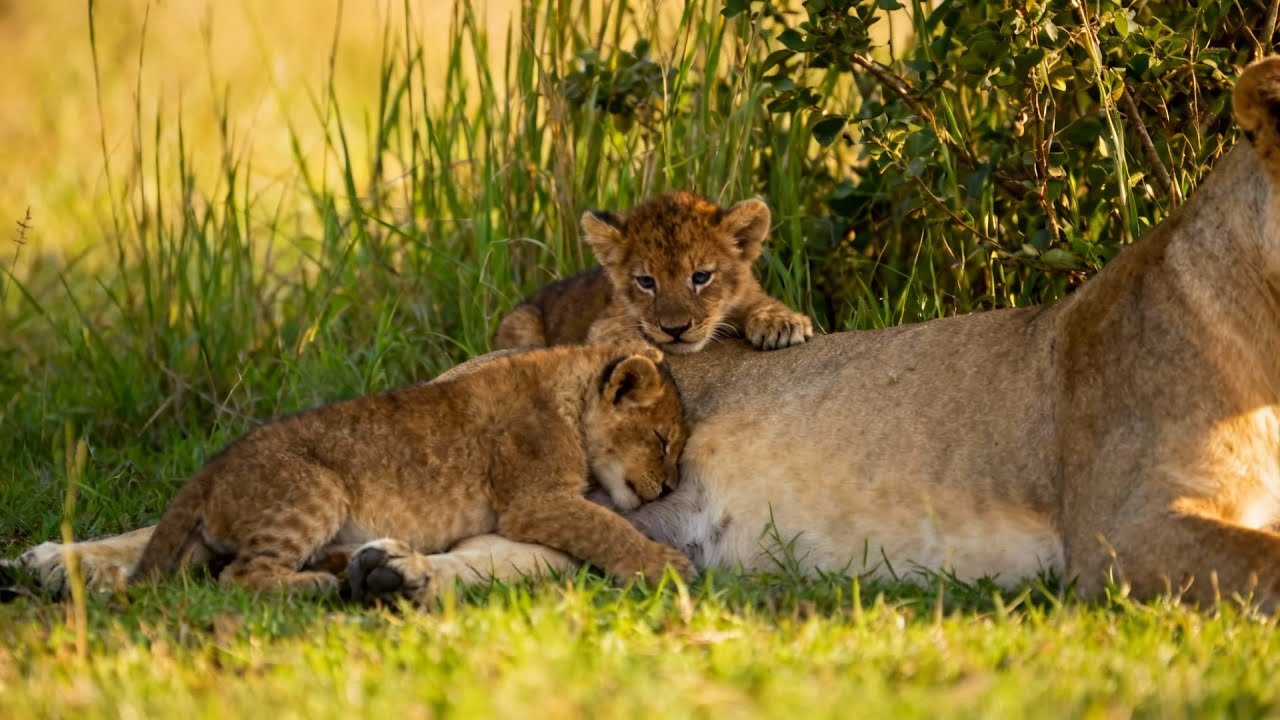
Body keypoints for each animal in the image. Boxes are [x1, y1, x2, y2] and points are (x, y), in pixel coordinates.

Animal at [16, 344, 693, 599]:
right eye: (663, 440)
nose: (671, 487)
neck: (568, 383)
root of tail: (210, 471)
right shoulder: (536, 499)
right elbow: (607, 527)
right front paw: (667, 565)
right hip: (313, 492)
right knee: (241, 575)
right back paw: (321, 582)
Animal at [493, 191, 814, 353]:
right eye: (646, 282)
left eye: (700, 277)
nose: (675, 330)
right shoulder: (607, 319)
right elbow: (614, 333)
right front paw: (638, 350)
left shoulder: (746, 294)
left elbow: (763, 302)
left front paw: (781, 323)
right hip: (522, 320)